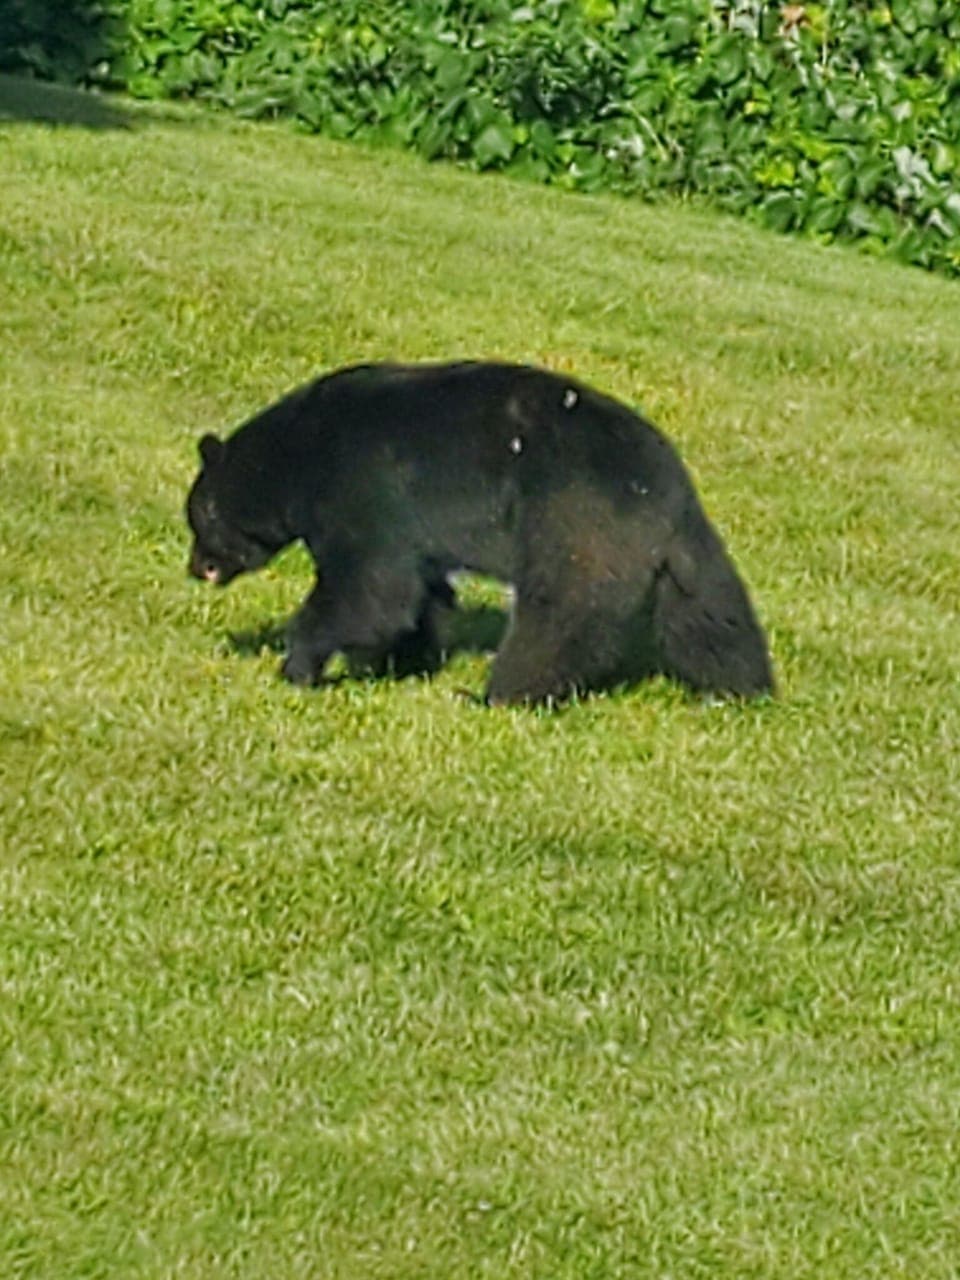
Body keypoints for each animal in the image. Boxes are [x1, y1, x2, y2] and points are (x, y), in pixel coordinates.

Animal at [185, 360, 774, 703]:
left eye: (199, 516)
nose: (195, 568)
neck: (294, 458)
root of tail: (660, 486)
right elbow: (416, 593)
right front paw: (406, 661)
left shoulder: (363, 488)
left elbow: (369, 589)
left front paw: (298, 666)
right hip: (684, 551)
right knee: (712, 614)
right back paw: (742, 690)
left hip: (575, 521)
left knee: (558, 617)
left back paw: (500, 693)